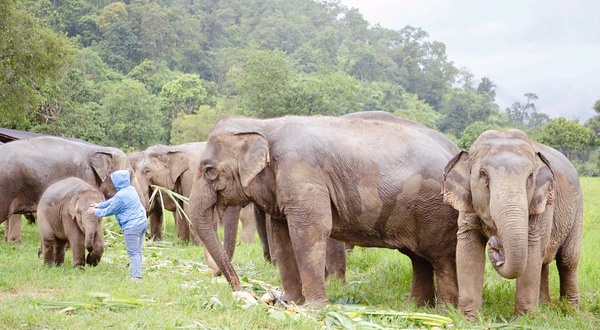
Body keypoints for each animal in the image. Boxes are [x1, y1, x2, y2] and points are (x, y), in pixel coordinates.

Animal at [188, 111, 460, 306]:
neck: (264, 126)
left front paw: (314, 309)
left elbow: (310, 229)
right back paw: (416, 307)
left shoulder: (302, 172)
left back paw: (444, 311)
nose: (241, 291)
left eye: (209, 170)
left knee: (440, 259)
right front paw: (289, 303)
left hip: (436, 210)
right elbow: (281, 235)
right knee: (419, 258)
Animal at [440, 130, 580, 320]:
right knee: (543, 262)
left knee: (568, 260)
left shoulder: (542, 205)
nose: (495, 244)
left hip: (577, 213)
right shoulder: (468, 203)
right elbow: (467, 250)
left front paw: (524, 320)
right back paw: (544, 305)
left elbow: (532, 248)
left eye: (530, 176)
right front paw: (471, 319)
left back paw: (570, 310)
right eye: (483, 174)